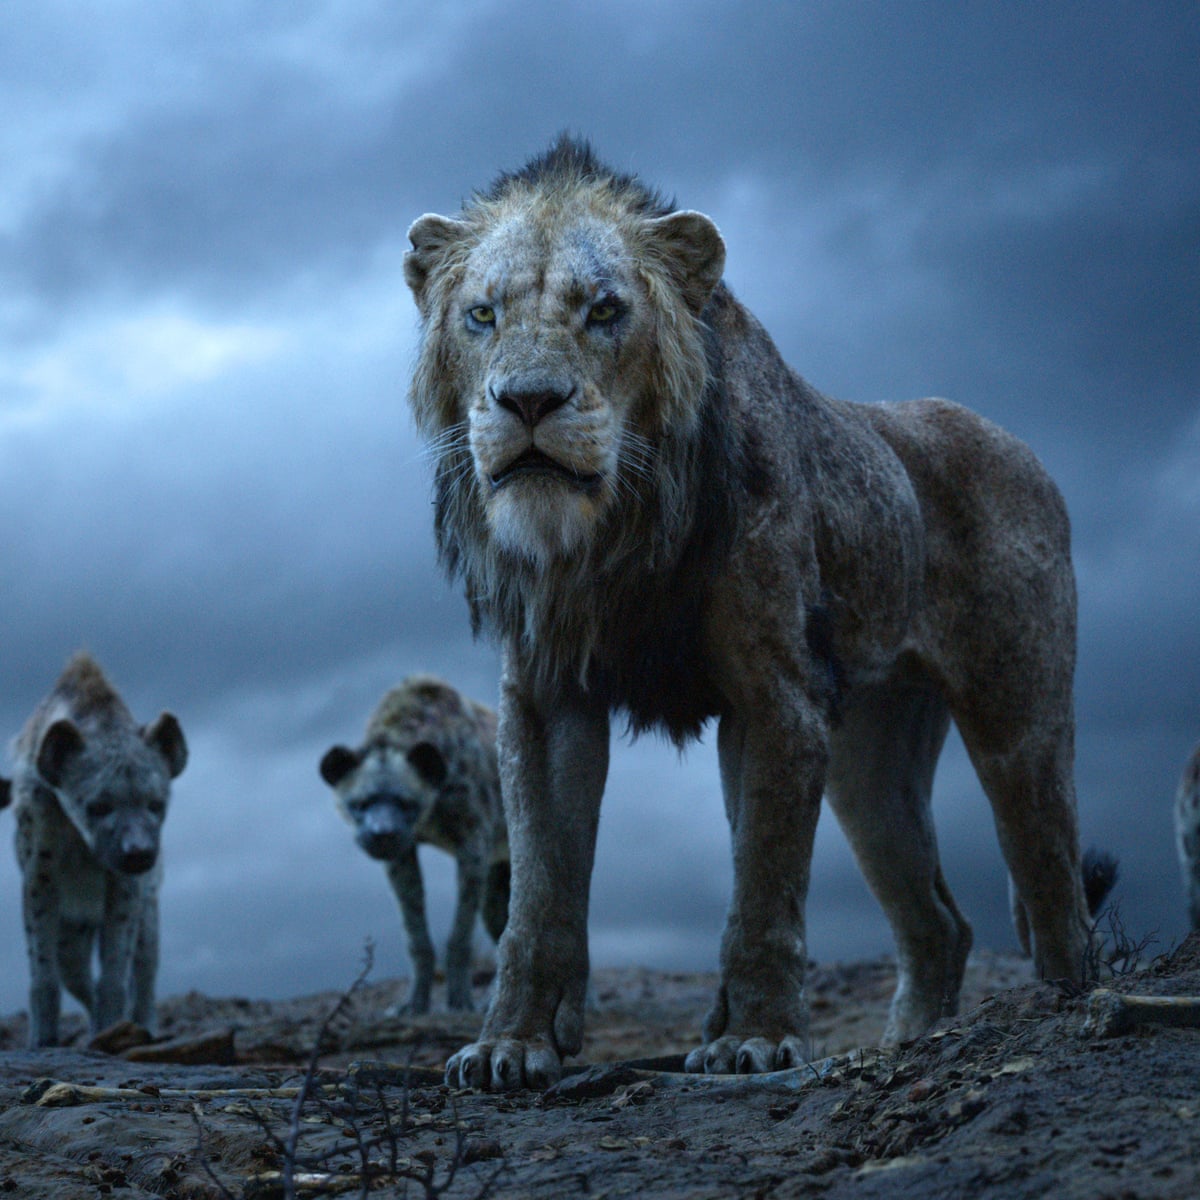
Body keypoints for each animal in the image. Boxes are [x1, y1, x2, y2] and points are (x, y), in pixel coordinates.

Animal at [404, 135, 1098, 1090]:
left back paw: (1066, 1010)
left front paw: (757, 1040)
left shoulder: (775, 696)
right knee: (940, 925)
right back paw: (910, 1044)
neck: (614, 531)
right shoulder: (544, 701)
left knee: (1052, 877)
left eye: (605, 310)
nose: (529, 401)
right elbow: (539, 894)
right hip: (868, 763)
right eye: (481, 314)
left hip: (1016, 718)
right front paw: (512, 1043)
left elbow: (764, 882)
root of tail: (1028, 452)